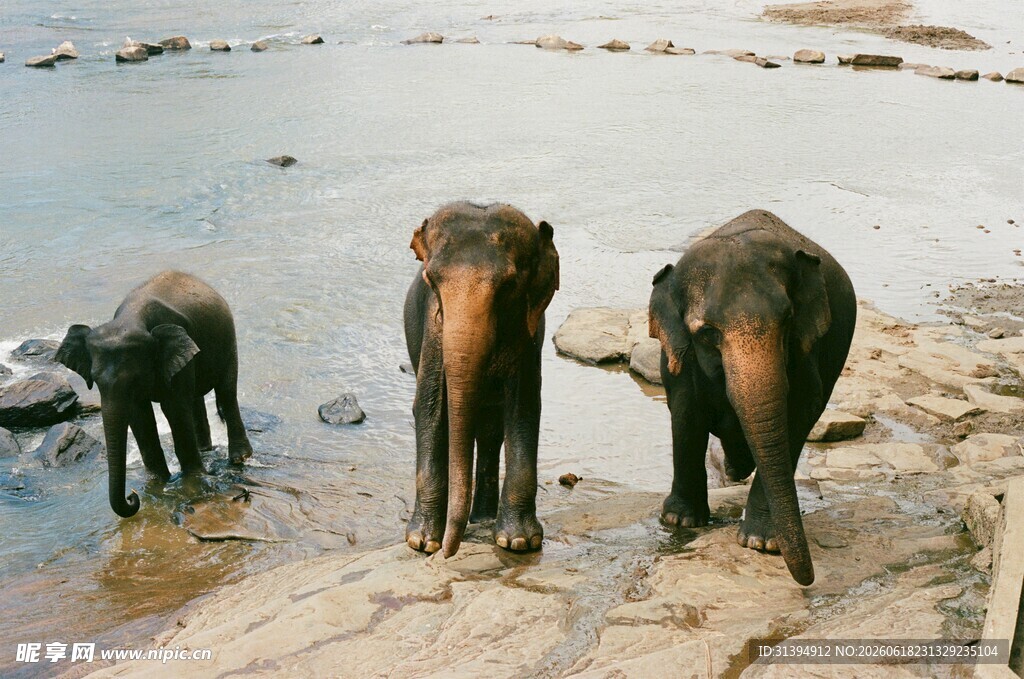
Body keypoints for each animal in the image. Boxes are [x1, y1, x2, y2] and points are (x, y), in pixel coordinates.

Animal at [55, 271, 254, 517]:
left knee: (226, 392)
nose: (132, 497)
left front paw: (192, 483)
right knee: (195, 399)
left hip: (228, 340)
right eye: (95, 379)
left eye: (135, 378)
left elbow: (174, 407)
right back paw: (205, 449)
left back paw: (239, 458)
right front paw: (158, 482)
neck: (131, 319)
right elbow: (139, 414)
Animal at [403, 202, 559, 558]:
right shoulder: (433, 332)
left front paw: (519, 542)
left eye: (509, 285)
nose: (448, 552)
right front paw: (422, 542)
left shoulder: (527, 335)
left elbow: (524, 406)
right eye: (431, 280)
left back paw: (485, 519)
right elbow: (430, 407)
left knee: (490, 433)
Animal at [648, 210, 856, 585]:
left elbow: (801, 411)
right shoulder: (679, 355)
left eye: (788, 320)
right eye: (708, 333)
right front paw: (680, 521)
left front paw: (761, 542)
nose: (809, 580)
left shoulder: (806, 351)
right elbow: (686, 409)